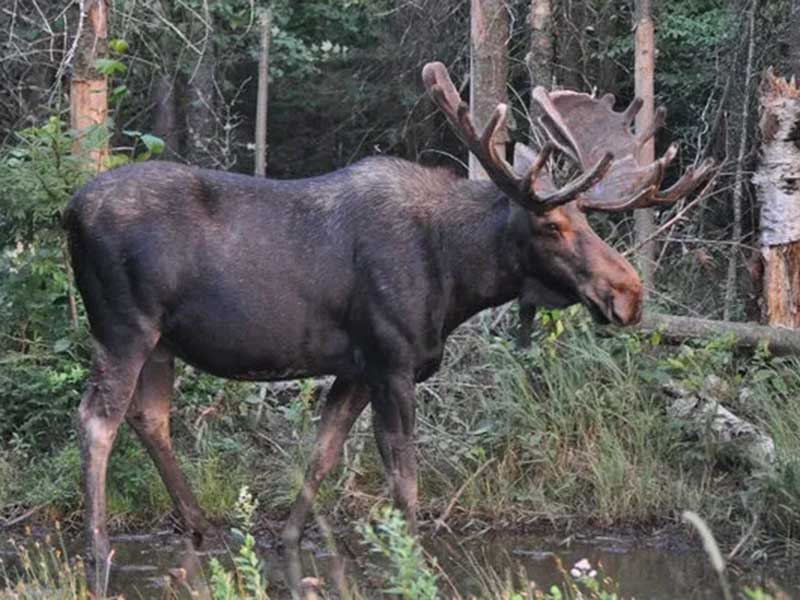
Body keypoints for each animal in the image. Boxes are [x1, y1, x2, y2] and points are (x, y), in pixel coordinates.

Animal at [64, 62, 712, 592]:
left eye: (588, 220)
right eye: (551, 224)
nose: (629, 295)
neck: (455, 280)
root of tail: (68, 212)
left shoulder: (355, 368)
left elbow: (322, 455)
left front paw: (287, 540)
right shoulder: (393, 361)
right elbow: (405, 485)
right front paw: (414, 563)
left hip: (163, 342)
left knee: (151, 417)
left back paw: (200, 526)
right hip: (124, 325)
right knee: (98, 418)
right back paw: (99, 549)